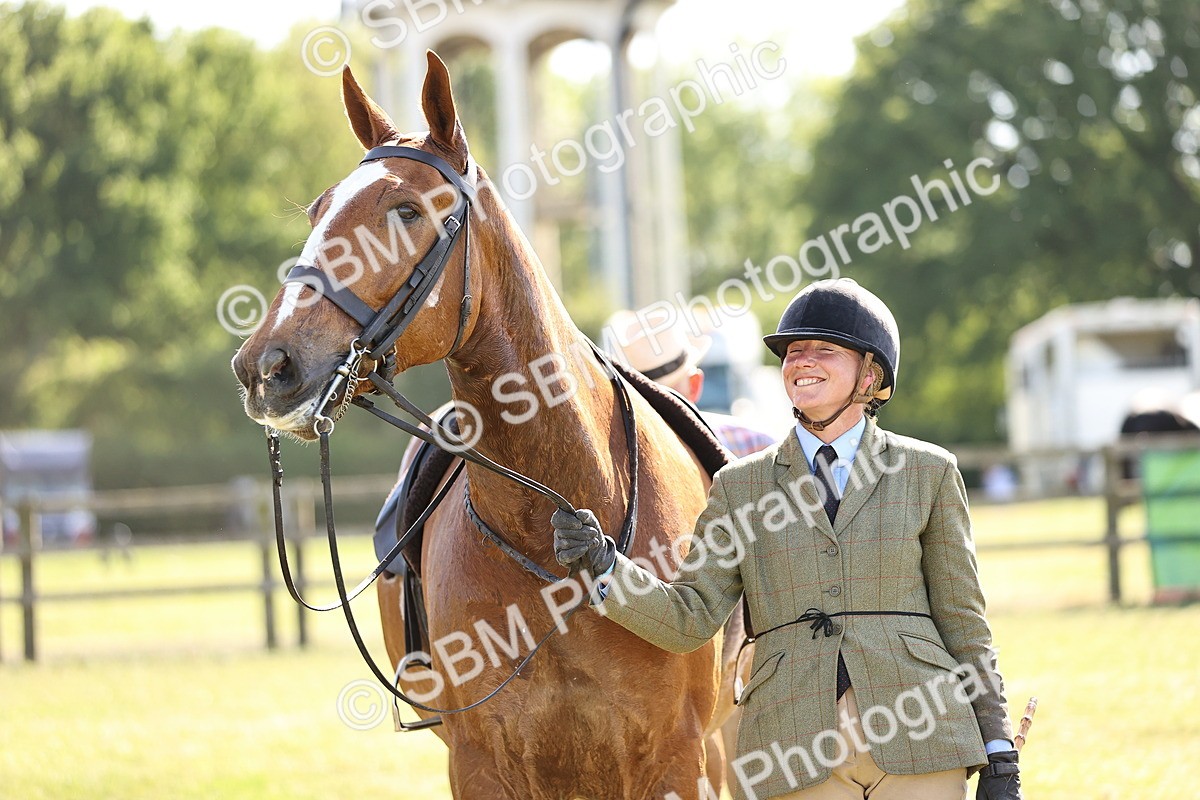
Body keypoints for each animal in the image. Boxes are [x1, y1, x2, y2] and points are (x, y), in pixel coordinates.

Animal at [232, 52, 743, 799]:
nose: (266, 366)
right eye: (319, 210)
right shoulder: (481, 761)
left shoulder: (678, 760)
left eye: (406, 210)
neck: (552, 517)